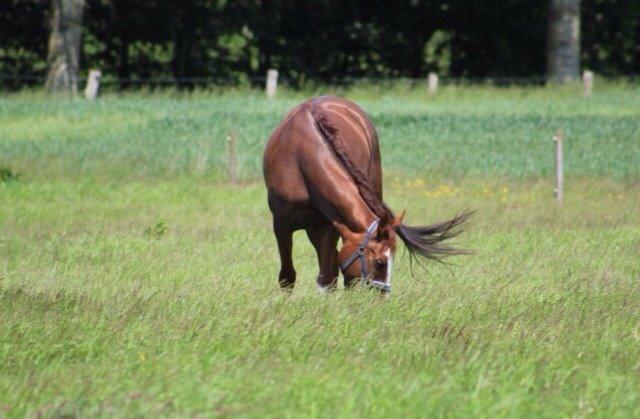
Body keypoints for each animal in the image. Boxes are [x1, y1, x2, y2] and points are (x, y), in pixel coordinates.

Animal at [262, 96, 470, 294]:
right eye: (380, 262)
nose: (382, 297)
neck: (302, 158)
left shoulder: (329, 225)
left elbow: (327, 277)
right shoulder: (281, 225)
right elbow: (287, 277)